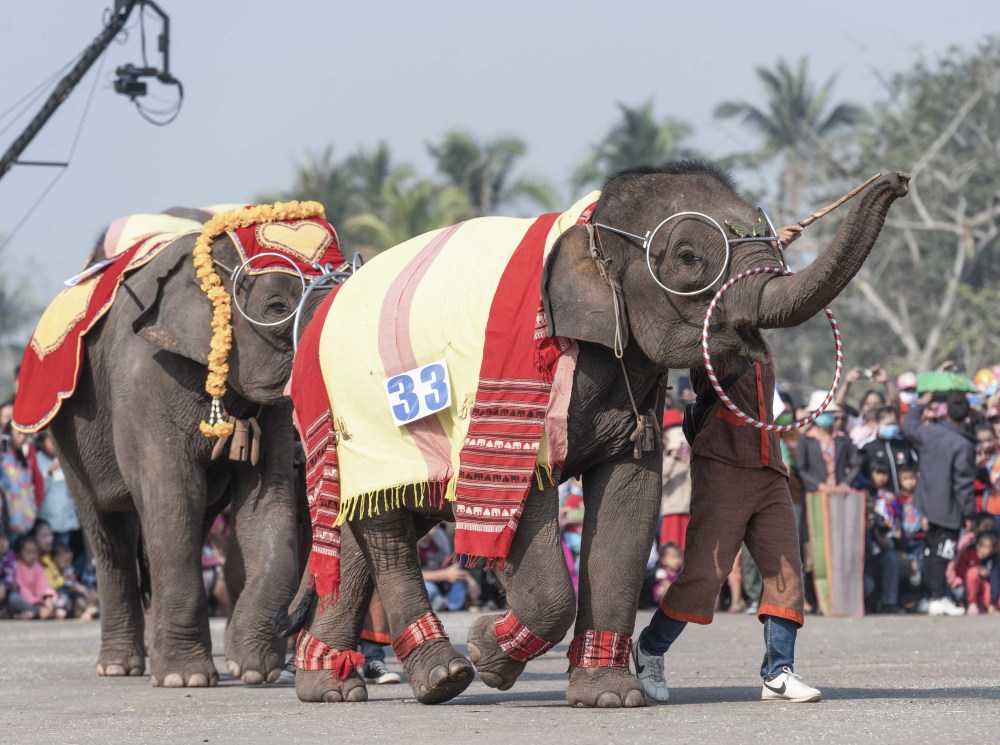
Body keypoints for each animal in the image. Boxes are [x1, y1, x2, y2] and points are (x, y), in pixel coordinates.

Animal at [280, 160, 908, 708]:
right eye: (688, 258)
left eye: (776, 243)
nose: (897, 180)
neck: (588, 229)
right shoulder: (516, 382)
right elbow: (519, 502)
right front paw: (487, 655)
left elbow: (630, 501)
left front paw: (609, 696)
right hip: (353, 419)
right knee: (385, 530)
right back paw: (439, 677)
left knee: (375, 524)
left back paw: (327, 683)